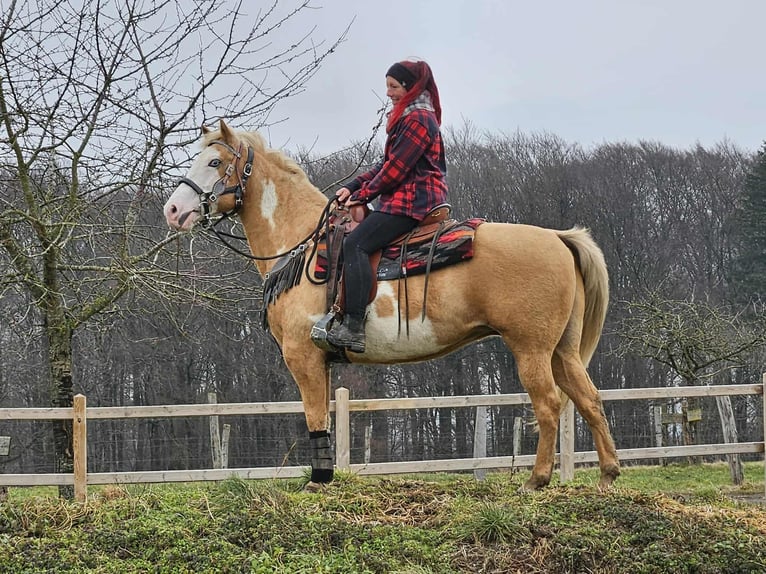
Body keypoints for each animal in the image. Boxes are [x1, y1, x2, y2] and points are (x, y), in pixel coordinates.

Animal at [163, 120, 620, 492]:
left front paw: (318, 480)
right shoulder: (321, 361)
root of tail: (557, 237)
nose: (173, 209)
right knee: (589, 399)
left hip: (532, 349)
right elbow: (322, 416)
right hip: (562, 350)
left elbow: (315, 416)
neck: (303, 244)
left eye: (215, 161)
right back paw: (608, 474)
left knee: (549, 404)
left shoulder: (302, 356)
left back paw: (538, 479)